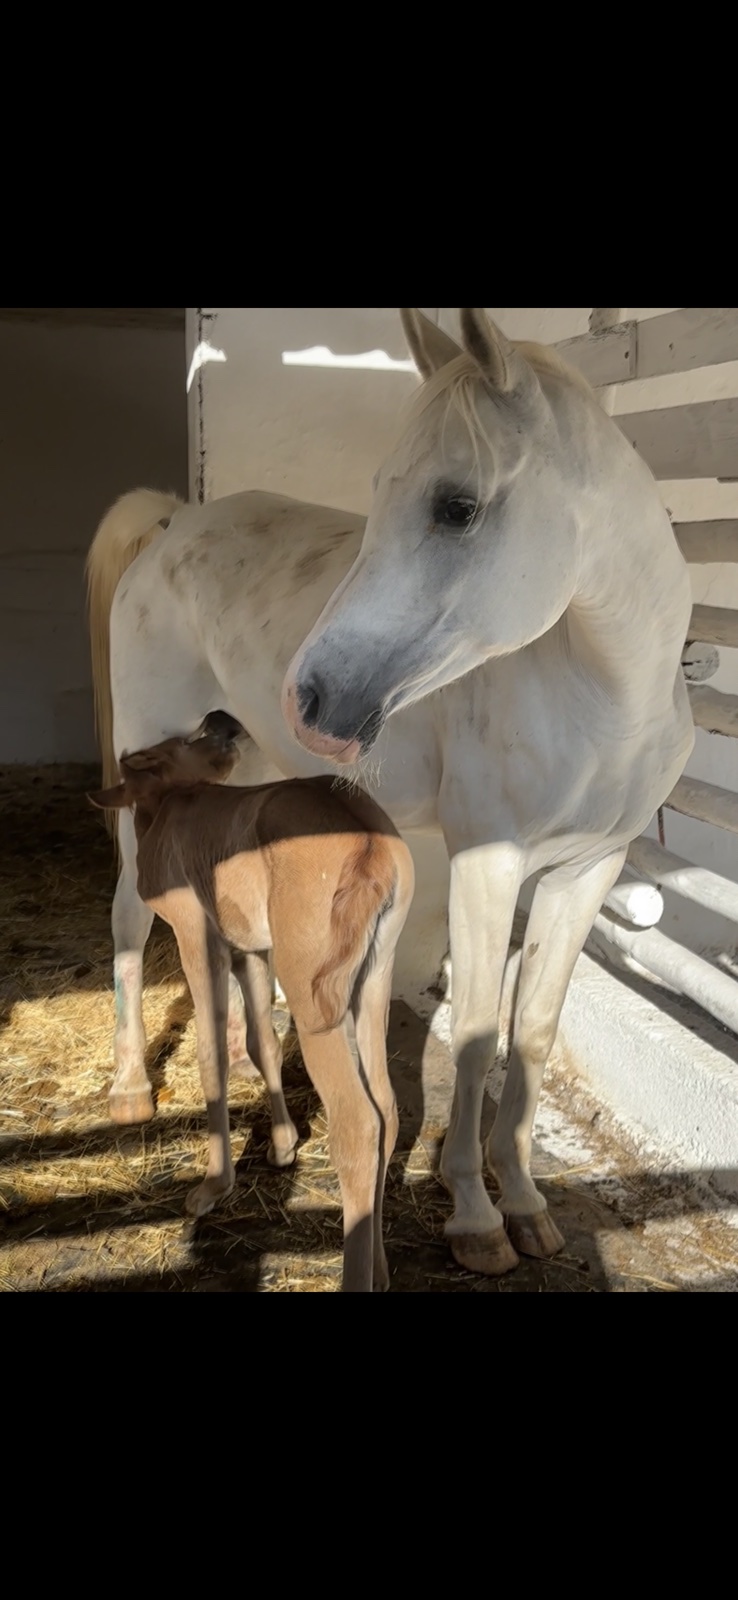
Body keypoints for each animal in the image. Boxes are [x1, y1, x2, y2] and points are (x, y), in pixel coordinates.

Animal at [87, 307, 694, 1276]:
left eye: (457, 506)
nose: (310, 696)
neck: (603, 697)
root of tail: (175, 524)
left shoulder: (589, 872)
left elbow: (532, 1030)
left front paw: (526, 1202)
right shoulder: (488, 860)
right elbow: (479, 1034)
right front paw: (475, 1215)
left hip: (246, 776)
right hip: (149, 767)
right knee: (126, 918)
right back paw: (130, 1089)